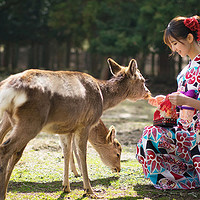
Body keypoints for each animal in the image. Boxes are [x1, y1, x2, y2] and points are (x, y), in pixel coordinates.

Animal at [0, 57, 150, 198]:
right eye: (142, 80)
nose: (148, 92)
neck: (102, 97)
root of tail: (9, 88)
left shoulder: (65, 128)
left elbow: (66, 152)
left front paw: (66, 187)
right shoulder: (84, 124)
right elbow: (82, 153)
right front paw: (89, 190)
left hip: (13, 120)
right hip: (31, 121)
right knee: (6, 149)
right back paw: (3, 193)